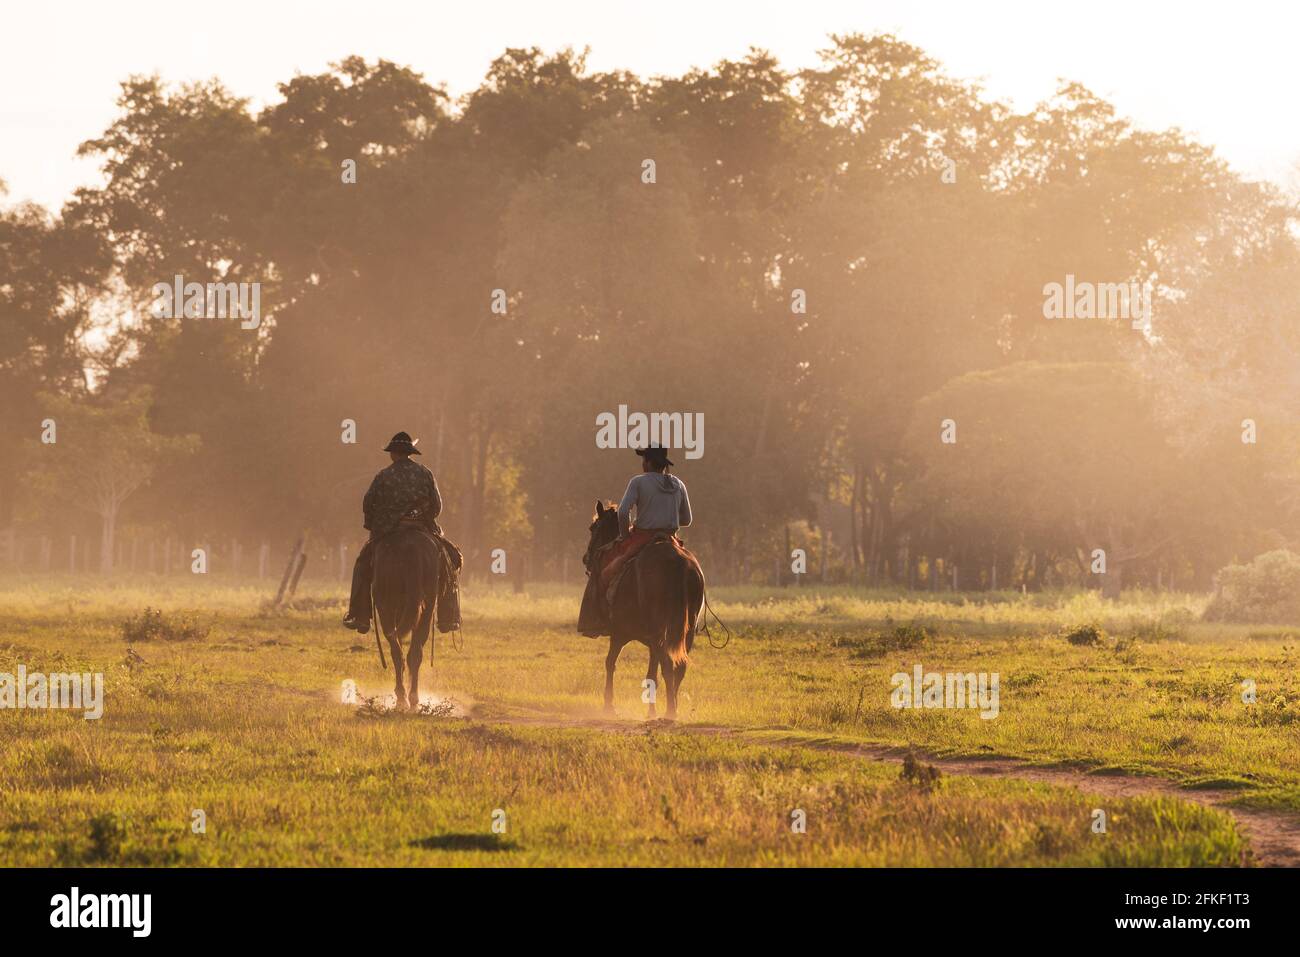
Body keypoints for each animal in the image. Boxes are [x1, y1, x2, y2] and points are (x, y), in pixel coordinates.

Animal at [371, 522, 441, 712]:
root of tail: (411, 548)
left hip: (387, 607)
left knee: (399, 652)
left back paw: (403, 697)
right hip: (425, 606)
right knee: (413, 653)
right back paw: (412, 698)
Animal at [582, 504, 702, 722]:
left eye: (593, 527)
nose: (586, 558)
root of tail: (678, 562)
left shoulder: (619, 633)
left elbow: (610, 663)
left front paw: (608, 705)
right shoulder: (652, 642)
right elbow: (651, 674)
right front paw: (651, 711)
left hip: (658, 631)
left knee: (668, 665)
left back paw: (670, 710)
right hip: (685, 632)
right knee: (679, 666)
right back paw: (673, 708)